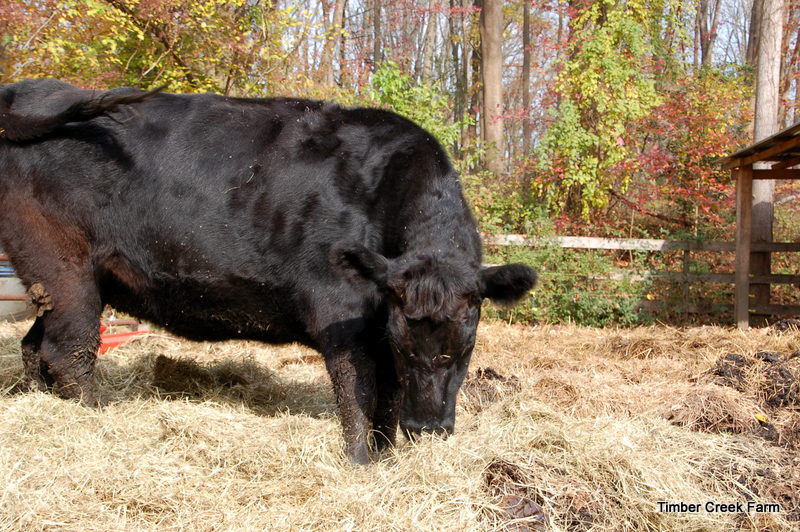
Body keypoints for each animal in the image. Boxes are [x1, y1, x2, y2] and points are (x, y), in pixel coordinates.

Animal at [0, 79, 536, 464]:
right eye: (410, 345)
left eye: (464, 347)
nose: (427, 429)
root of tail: (28, 88)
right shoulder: (342, 311)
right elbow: (358, 393)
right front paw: (361, 462)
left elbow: (386, 398)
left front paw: (388, 456)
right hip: (66, 270)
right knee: (70, 353)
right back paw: (92, 420)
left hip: (49, 280)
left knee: (34, 346)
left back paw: (38, 403)